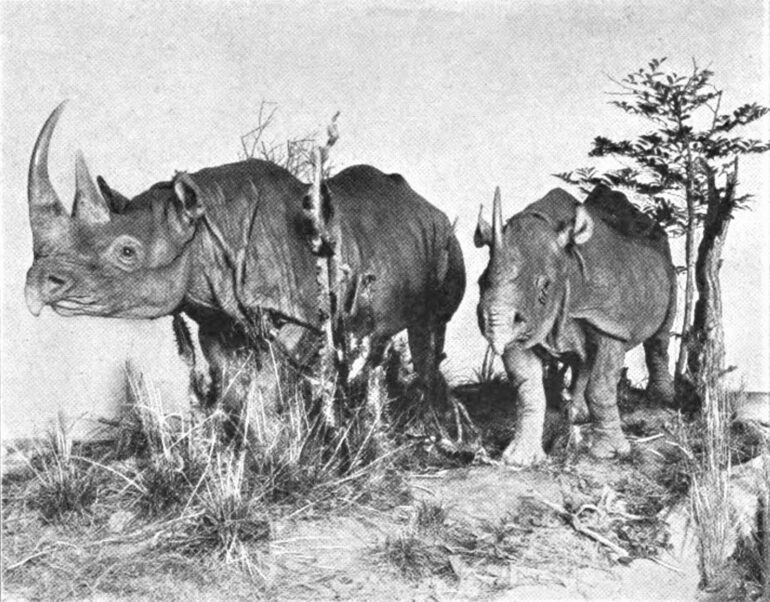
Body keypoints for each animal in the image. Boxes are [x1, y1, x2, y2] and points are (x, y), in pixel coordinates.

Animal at [24, 103, 466, 415]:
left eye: (127, 252)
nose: (38, 285)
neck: (202, 226)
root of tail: (427, 205)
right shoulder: (217, 317)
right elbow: (232, 387)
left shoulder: (301, 315)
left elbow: (269, 386)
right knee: (373, 338)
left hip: (447, 238)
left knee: (429, 328)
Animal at [475, 185, 676, 465]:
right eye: (480, 283)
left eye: (545, 287)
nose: (490, 321)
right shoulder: (523, 324)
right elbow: (528, 389)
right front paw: (520, 459)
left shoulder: (607, 323)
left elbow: (601, 387)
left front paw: (610, 453)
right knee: (583, 358)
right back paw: (576, 414)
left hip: (667, 264)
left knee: (660, 336)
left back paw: (661, 400)